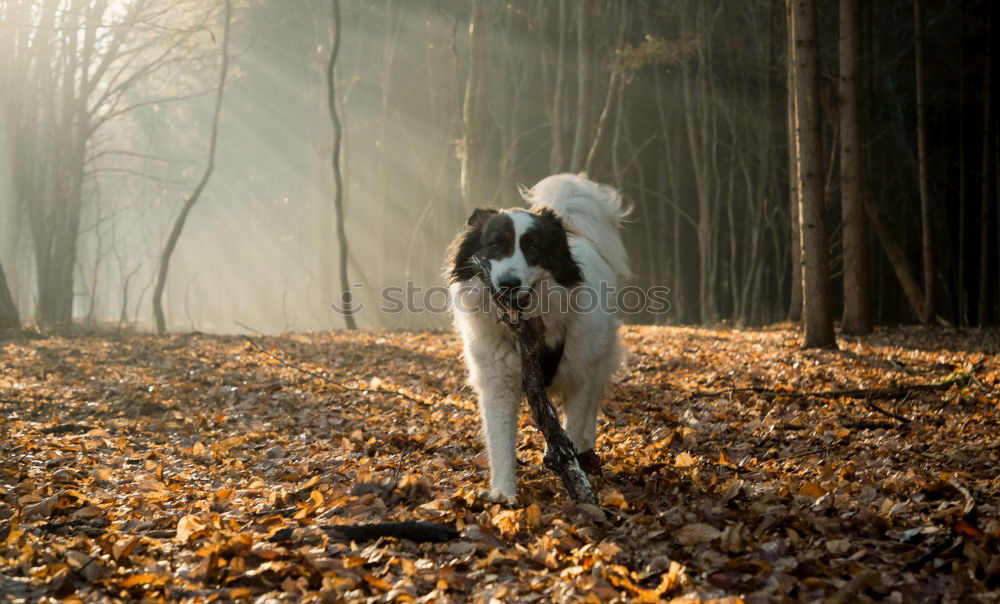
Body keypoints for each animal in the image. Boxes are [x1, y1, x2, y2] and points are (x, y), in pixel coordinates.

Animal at [444, 172, 628, 502]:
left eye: (532, 249)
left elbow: (576, 420)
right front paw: (503, 492)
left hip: (598, 358)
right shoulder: (499, 383)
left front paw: (576, 470)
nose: (508, 284)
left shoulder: (578, 377)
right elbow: (500, 440)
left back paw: (585, 450)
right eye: (495, 245)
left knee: (592, 405)